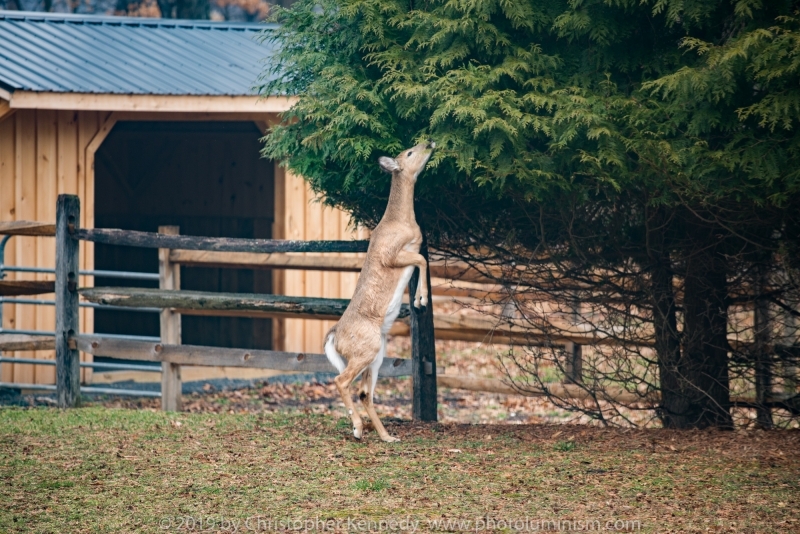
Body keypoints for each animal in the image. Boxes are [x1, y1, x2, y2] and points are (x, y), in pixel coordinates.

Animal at [324, 138, 438, 444]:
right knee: (341, 380)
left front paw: (419, 299)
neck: (402, 223)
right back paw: (357, 428)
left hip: (377, 354)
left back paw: (386, 436)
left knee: (365, 392)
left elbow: (422, 261)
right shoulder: (391, 254)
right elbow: (422, 260)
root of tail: (334, 336)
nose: (430, 140)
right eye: (410, 152)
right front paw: (422, 300)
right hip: (367, 348)